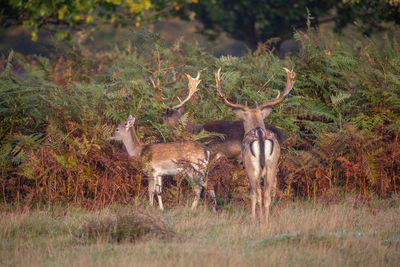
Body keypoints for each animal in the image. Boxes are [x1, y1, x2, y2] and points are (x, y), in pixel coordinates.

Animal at [214, 67, 296, 226]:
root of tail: (260, 135)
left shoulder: (245, 165)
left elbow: (252, 193)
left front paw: (253, 218)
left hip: (252, 166)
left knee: (256, 193)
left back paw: (257, 219)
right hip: (272, 164)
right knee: (268, 194)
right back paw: (266, 221)